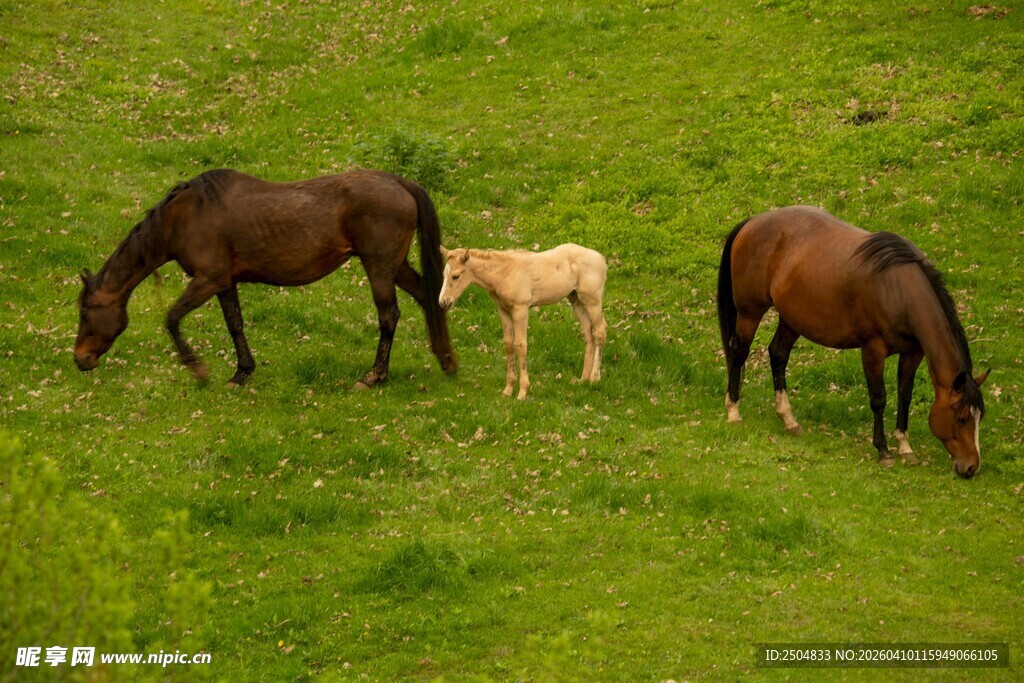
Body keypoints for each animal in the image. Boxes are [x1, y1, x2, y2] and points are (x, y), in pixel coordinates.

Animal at [75, 168, 458, 388]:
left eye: (85, 313)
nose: (80, 359)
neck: (186, 217)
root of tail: (400, 182)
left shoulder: (207, 280)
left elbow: (171, 318)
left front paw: (199, 370)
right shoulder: (224, 283)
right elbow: (235, 325)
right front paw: (242, 372)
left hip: (378, 267)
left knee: (389, 316)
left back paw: (374, 376)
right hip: (394, 266)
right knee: (427, 298)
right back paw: (446, 360)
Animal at [438, 244, 607, 400]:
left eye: (456, 276)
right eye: (444, 274)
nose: (443, 302)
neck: (503, 273)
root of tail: (601, 258)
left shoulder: (521, 309)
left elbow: (520, 345)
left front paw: (523, 391)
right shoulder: (504, 310)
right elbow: (508, 344)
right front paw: (508, 389)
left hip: (592, 300)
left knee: (600, 330)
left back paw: (595, 378)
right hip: (576, 300)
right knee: (588, 334)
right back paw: (583, 379)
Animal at [716, 205, 988, 478]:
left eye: (979, 417)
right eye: (962, 418)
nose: (971, 467)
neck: (898, 290)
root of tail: (753, 221)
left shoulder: (913, 353)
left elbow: (904, 396)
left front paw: (905, 447)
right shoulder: (872, 351)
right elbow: (879, 399)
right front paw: (883, 451)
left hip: (792, 320)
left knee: (778, 354)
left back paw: (788, 419)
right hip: (750, 312)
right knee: (739, 352)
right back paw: (733, 410)